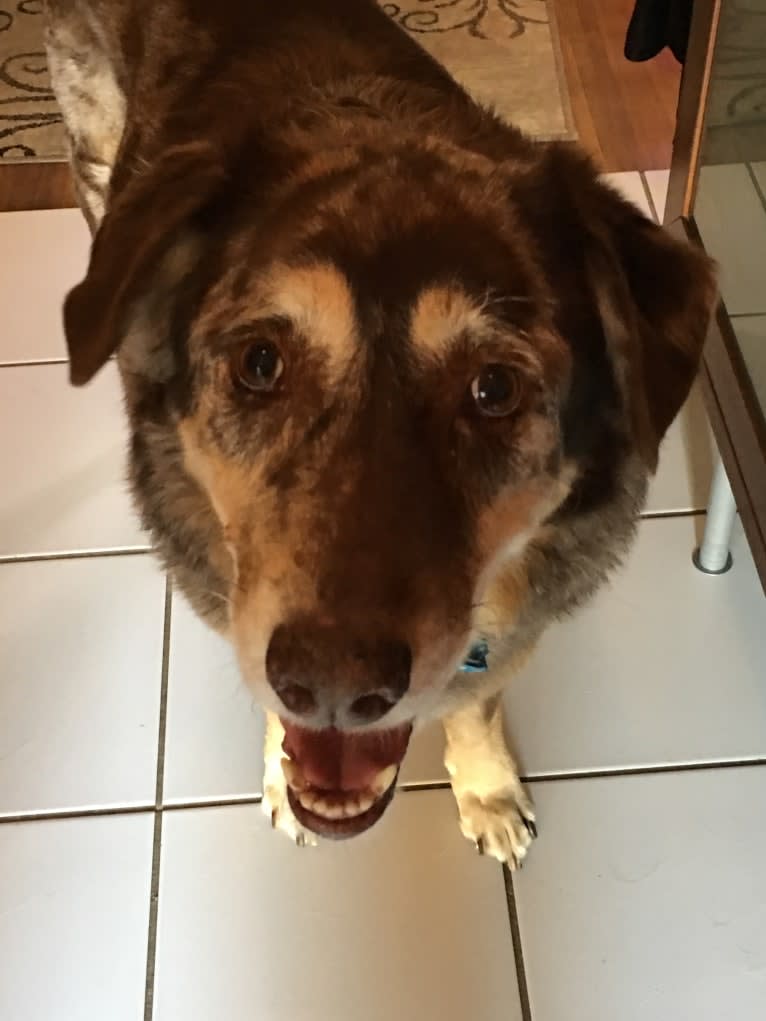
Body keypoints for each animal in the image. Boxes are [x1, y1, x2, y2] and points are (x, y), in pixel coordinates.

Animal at [43, 0, 719, 865]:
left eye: (494, 388)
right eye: (260, 363)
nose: (332, 687)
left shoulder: (520, 622)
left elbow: (478, 702)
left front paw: (488, 789)